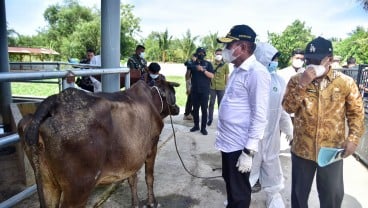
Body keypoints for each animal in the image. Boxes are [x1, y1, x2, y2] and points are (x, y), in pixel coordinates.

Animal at [18, 80, 180, 208]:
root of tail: (54, 101)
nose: (178, 108)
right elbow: (149, 177)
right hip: (78, 189)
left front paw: (135, 204)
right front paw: (152, 202)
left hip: (46, 182)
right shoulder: (152, 145)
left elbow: (132, 178)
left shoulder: (133, 155)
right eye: (173, 92)